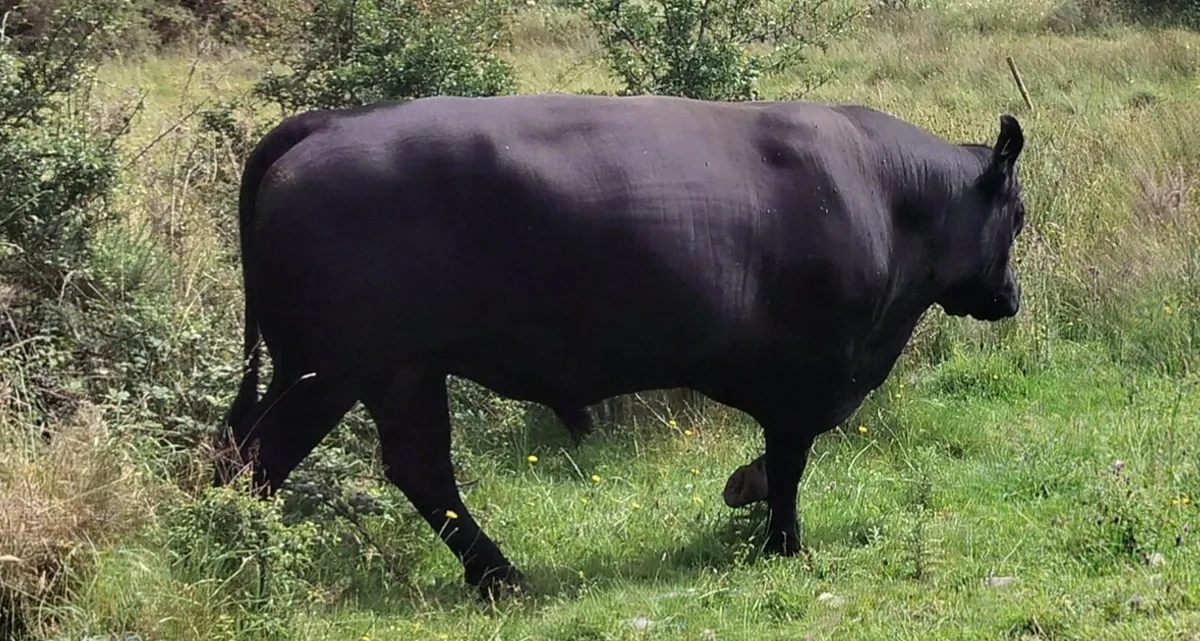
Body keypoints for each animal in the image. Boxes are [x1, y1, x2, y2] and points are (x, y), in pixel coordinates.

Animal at [214, 93, 1028, 602]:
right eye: (1017, 215)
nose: (1010, 297)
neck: (886, 194)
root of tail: (327, 124)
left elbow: (778, 458)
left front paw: (745, 488)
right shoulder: (808, 371)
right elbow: (792, 460)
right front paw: (783, 542)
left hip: (399, 370)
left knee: (417, 469)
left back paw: (500, 578)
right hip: (325, 368)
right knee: (256, 459)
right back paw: (236, 565)